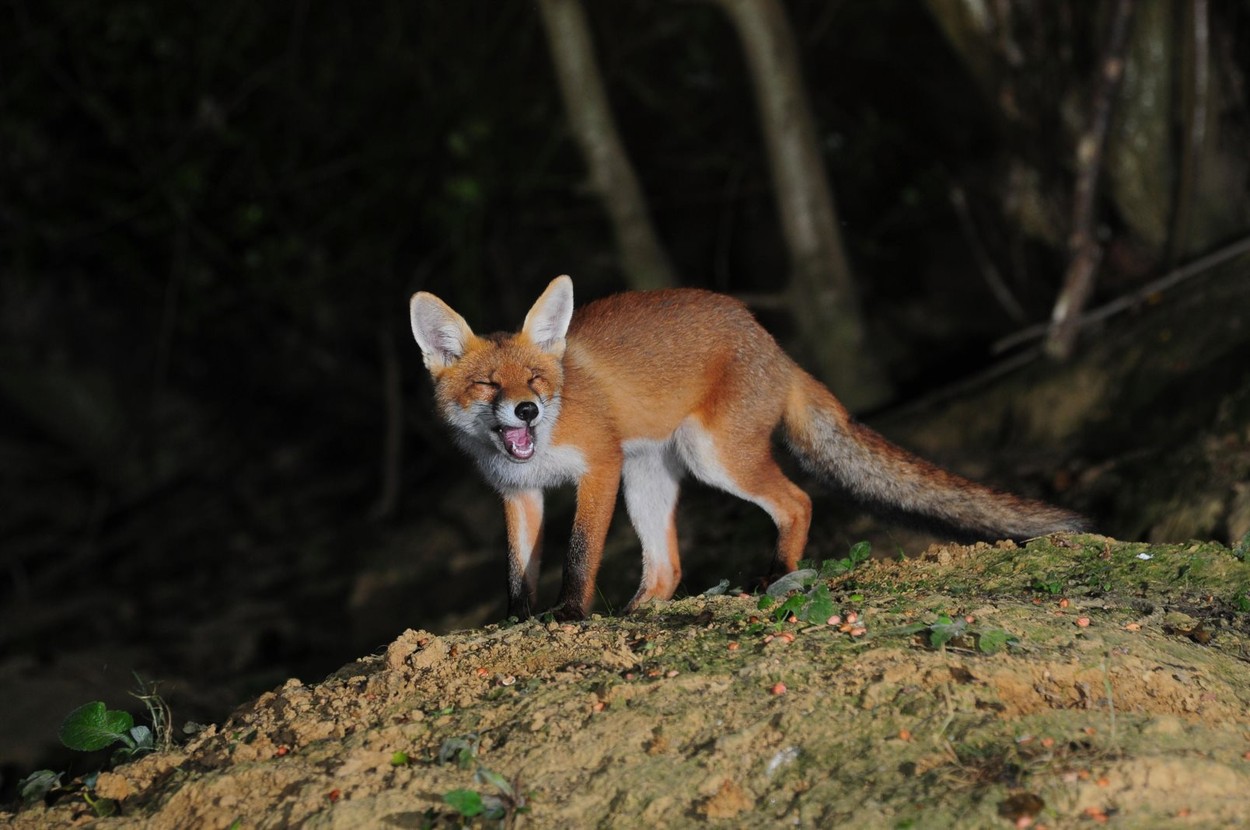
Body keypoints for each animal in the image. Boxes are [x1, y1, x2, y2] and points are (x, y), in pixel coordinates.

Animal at [410, 275, 1085, 620]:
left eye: (537, 381)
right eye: (488, 385)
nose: (526, 411)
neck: (543, 445)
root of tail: (773, 344)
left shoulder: (597, 467)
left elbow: (578, 556)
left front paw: (569, 615)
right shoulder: (518, 493)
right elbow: (517, 570)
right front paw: (518, 621)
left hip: (711, 459)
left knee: (797, 502)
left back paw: (777, 574)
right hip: (648, 479)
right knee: (668, 568)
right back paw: (639, 611)